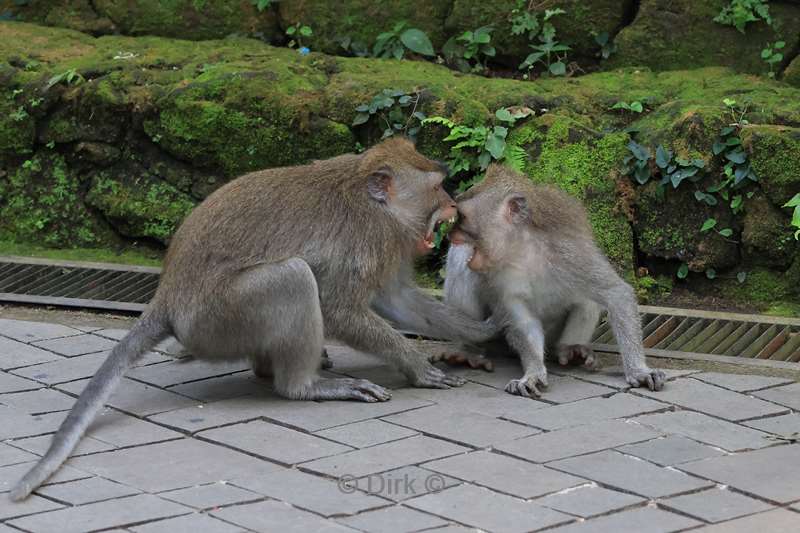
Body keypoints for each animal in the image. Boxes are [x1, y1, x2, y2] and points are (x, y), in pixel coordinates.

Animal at [10, 136, 500, 498]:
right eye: (437, 186)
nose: (454, 204)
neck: (370, 200)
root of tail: (168, 297)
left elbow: (399, 300)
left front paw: (488, 329)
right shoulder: (369, 237)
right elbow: (340, 308)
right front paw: (417, 367)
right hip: (218, 319)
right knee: (294, 276)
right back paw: (303, 386)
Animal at [446, 164, 664, 396]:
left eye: (462, 217)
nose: (451, 234)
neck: (523, 251)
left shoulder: (570, 254)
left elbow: (616, 293)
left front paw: (638, 370)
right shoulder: (500, 276)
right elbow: (523, 321)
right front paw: (533, 372)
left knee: (587, 298)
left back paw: (570, 349)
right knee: (459, 256)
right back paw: (466, 350)